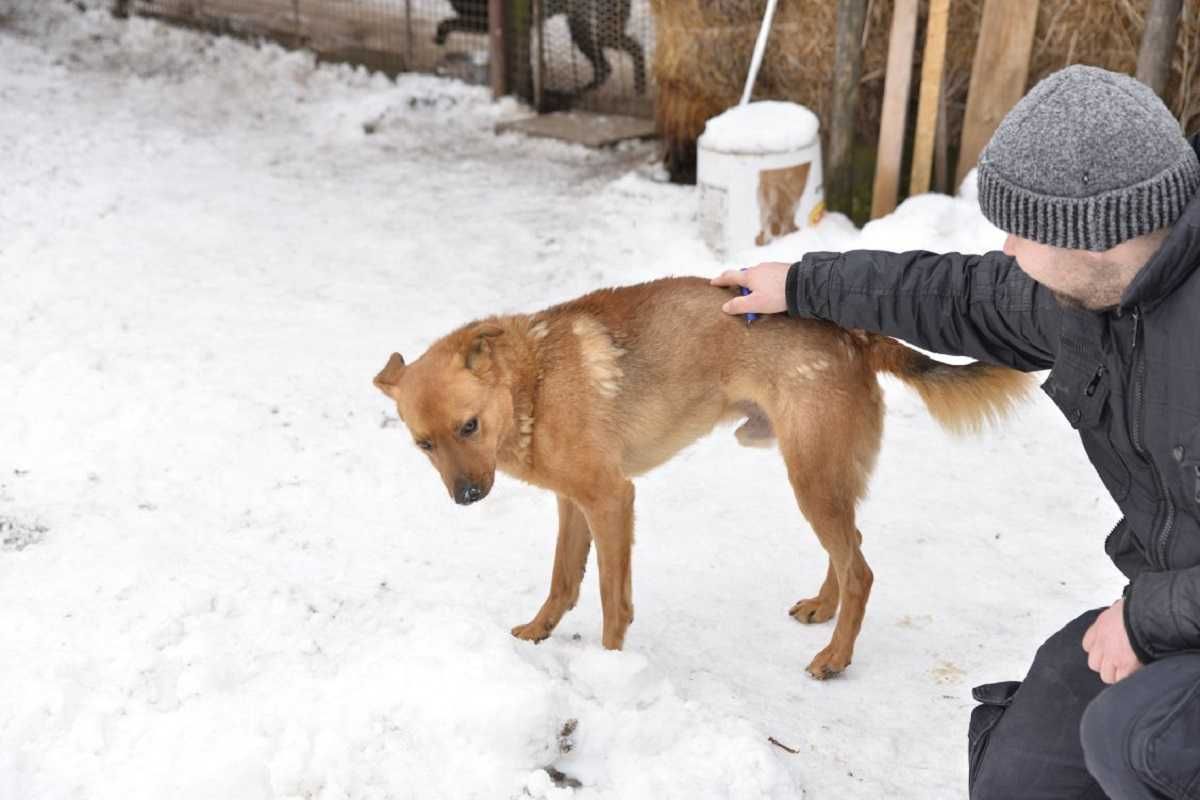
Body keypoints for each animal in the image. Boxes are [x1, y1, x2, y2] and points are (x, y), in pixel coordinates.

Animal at [374, 278, 1032, 681]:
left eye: (469, 426)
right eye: (423, 444)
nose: (467, 497)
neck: (530, 381)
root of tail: (852, 332)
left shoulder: (611, 500)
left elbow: (612, 599)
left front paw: (611, 669)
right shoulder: (573, 503)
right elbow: (562, 580)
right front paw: (539, 631)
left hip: (810, 479)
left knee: (862, 572)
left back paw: (835, 657)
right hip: (823, 479)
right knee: (851, 553)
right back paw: (824, 607)